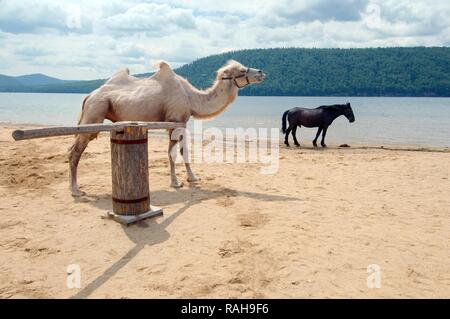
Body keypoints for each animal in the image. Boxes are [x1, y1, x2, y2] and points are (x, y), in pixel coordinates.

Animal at [68, 59, 266, 196]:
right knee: (75, 151)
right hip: (96, 110)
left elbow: (184, 151)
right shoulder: (173, 122)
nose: (262, 72)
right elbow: (172, 153)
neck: (191, 98)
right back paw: (76, 190)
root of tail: (88, 96)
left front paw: (192, 177)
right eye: (242, 70)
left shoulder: (182, 123)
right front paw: (175, 182)